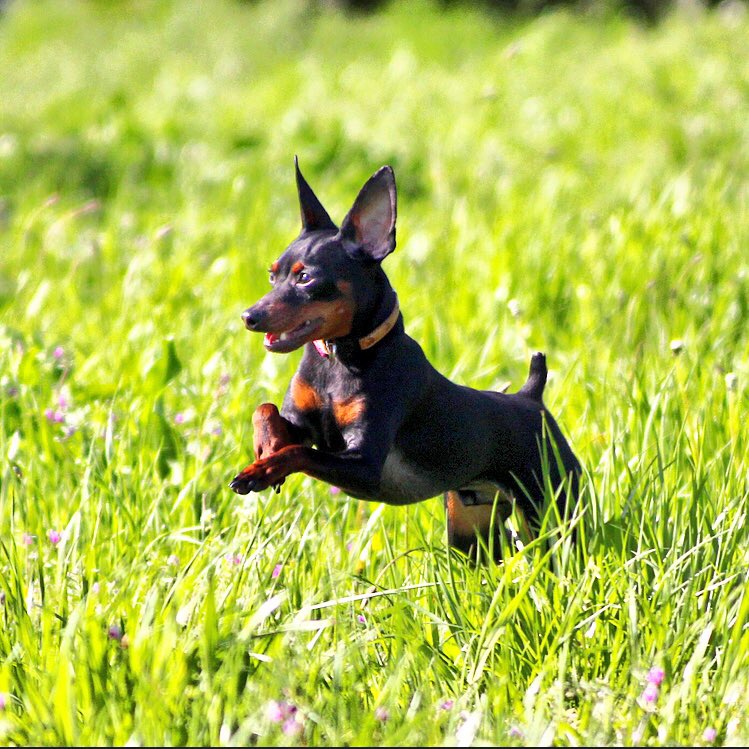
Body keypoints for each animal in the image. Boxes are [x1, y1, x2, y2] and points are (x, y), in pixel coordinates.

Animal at [228, 158, 580, 560]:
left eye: (305, 278)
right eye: (273, 276)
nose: (249, 316)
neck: (339, 360)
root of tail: (531, 396)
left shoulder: (363, 466)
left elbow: (297, 453)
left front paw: (260, 471)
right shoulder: (302, 424)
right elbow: (266, 411)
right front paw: (265, 448)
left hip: (554, 511)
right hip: (471, 529)